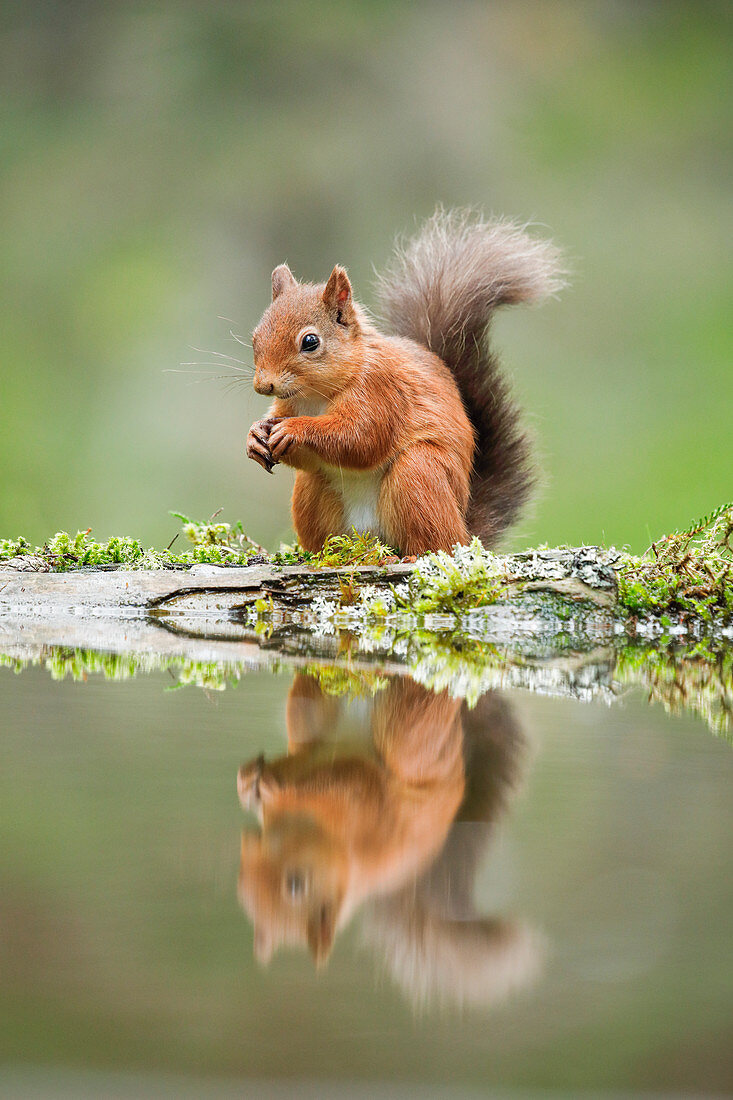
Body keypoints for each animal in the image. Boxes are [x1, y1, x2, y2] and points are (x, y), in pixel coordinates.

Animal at [244, 206, 559, 554]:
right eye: (255, 337)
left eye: (310, 342)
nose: (264, 385)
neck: (315, 395)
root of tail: (465, 532)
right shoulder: (289, 405)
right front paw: (255, 435)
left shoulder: (381, 391)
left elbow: (359, 437)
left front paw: (296, 430)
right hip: (312, 491)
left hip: (419, 475)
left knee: (436, 542)